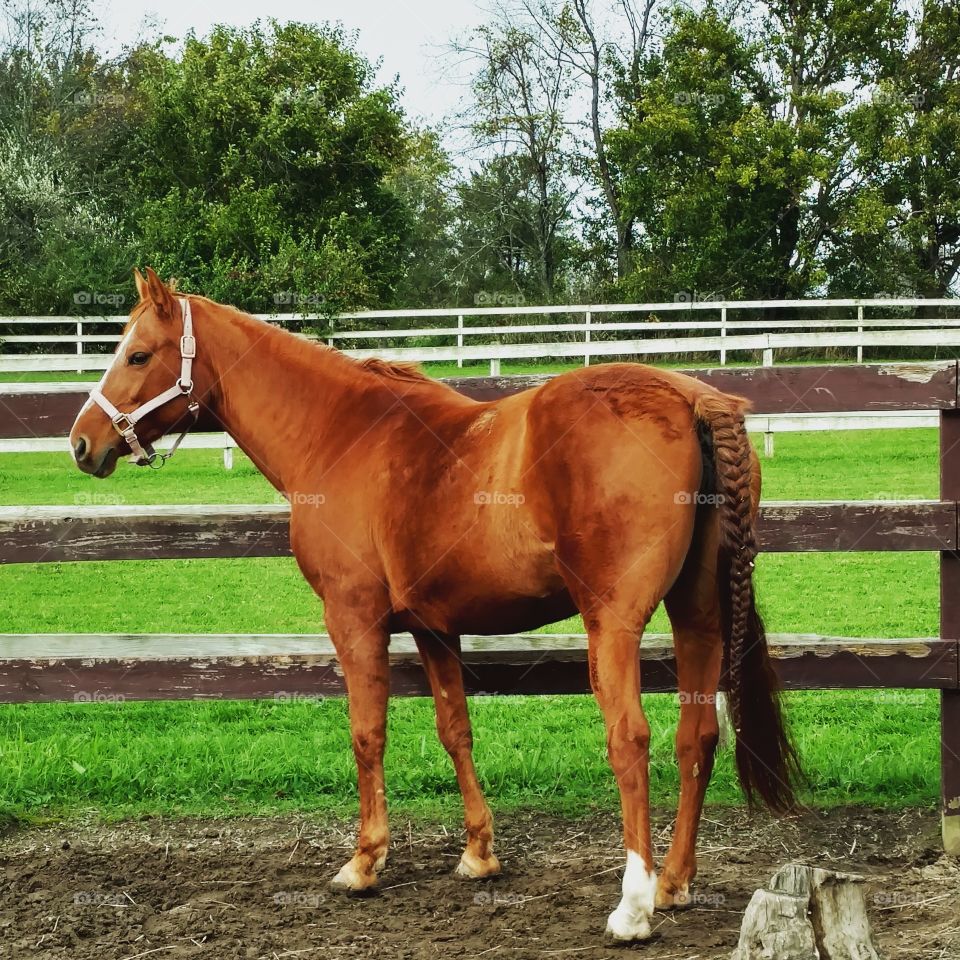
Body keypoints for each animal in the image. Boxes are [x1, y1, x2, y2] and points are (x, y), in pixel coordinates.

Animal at [69, 268, 798, 941]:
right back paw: (674, 882)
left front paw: (364, 861)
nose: (82, 442)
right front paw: (479, 853)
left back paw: (634, 905)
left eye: (138, 355)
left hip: (612, 624)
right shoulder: (433, 629)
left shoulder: (353, 619)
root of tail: (688, 396)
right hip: (697, 616)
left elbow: (367, 732)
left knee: (631, 737)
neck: (341, 433)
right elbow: (456, 730)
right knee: (696, 736)